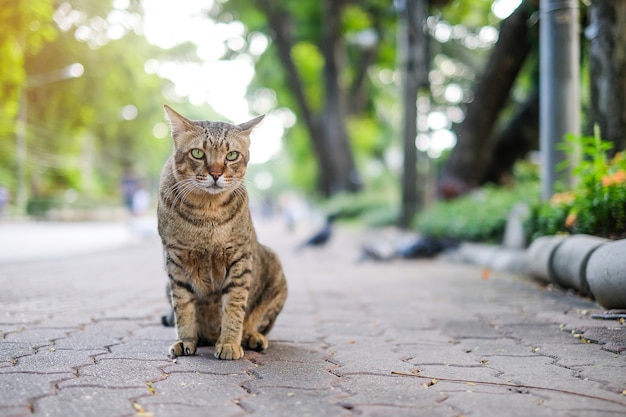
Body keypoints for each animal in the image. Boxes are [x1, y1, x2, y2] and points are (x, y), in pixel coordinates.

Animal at [157, 105, 286, 360]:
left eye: (232, 155)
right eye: (198, 153)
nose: (216, 173)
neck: (207, 212)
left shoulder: (240, 258)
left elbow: (234, 306)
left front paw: (228, 343)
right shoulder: (175, 262)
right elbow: (183, 307)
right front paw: (186, 340)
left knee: (255, 321)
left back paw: (251, 336)